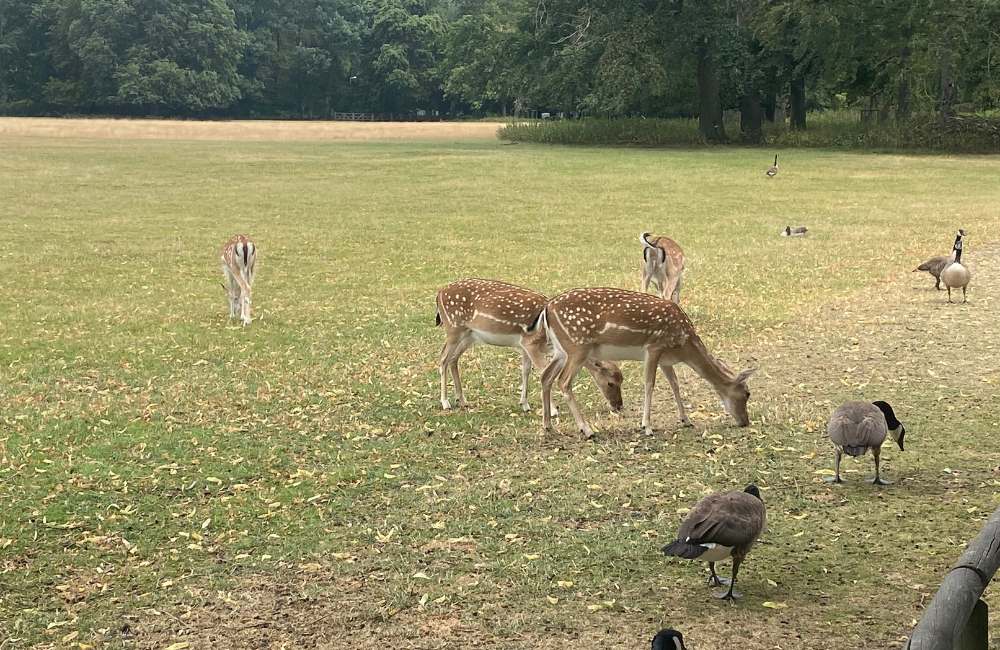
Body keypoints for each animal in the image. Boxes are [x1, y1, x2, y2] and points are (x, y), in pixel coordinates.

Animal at [434, 278, 620, 410]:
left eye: (621, 379)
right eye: (611, 382)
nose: (617, 406)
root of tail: (439, 292)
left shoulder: (524, 347)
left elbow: (525, 371)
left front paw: (525, 404)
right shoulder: (530, 343)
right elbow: (543, 372)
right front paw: (553, 409)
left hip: (468, 336)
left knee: (453, 359)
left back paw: (462, 400)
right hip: (453, 328)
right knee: (443, 358)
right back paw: (445, 402)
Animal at [536, 288, 752, 436]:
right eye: (747, 394)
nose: (745, 422)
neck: (684, 345)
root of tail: (547, 309)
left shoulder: (666, 360)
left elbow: (675, 385)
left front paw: (686, 419)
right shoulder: (654, 347)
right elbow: (649, 384)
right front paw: (647, 426)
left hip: (561, 350)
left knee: (546, 376)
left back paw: (547, 425)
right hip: (578, 346)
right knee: (563, 381)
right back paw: (587, 430)